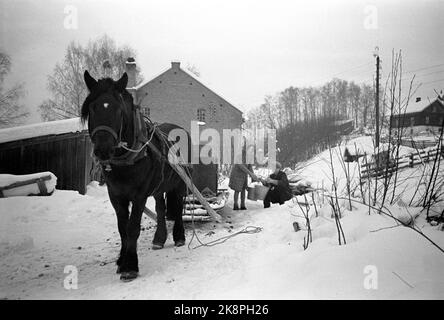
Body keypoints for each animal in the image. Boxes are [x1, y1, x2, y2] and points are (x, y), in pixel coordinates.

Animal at [81, 70, 191, 280]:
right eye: (91, 108)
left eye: (118, 109)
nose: (102, 149)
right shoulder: (116, 195)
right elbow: (122, 228)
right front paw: (121, 260)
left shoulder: (139, 195)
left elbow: (132, 228)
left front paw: (130, 266)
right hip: (159, 186)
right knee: (161, 208)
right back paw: (159, 239)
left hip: (180, 183)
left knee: (179, 206)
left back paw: (179, 236)